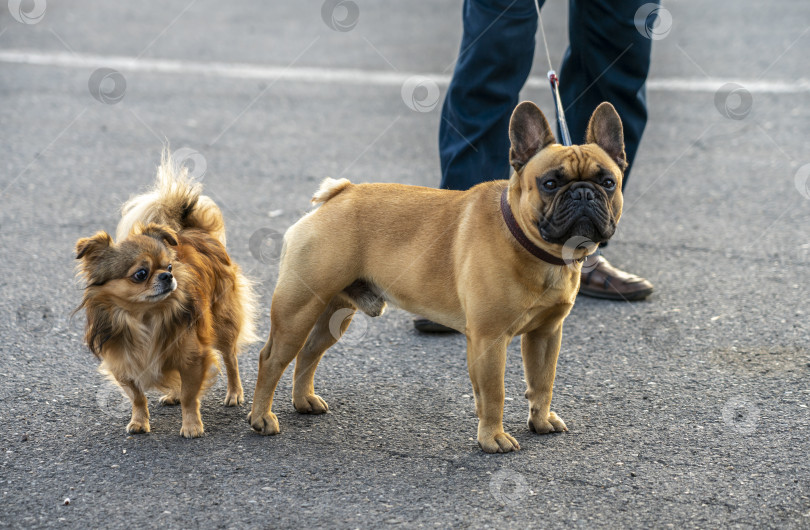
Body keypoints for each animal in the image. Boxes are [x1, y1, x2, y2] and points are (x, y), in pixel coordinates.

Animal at [76, 151, 256, 436]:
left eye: (169, 266)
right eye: (141, 274)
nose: (167, 276)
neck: (146, 318)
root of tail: (194, 229)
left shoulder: (194, 356)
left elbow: (191, 396)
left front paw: (192, 426)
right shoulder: (123, 363)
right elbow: (137, 397)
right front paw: (139, 422)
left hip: (223, 323)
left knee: (230, 358)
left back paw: (234, 393)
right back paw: (173, 394)